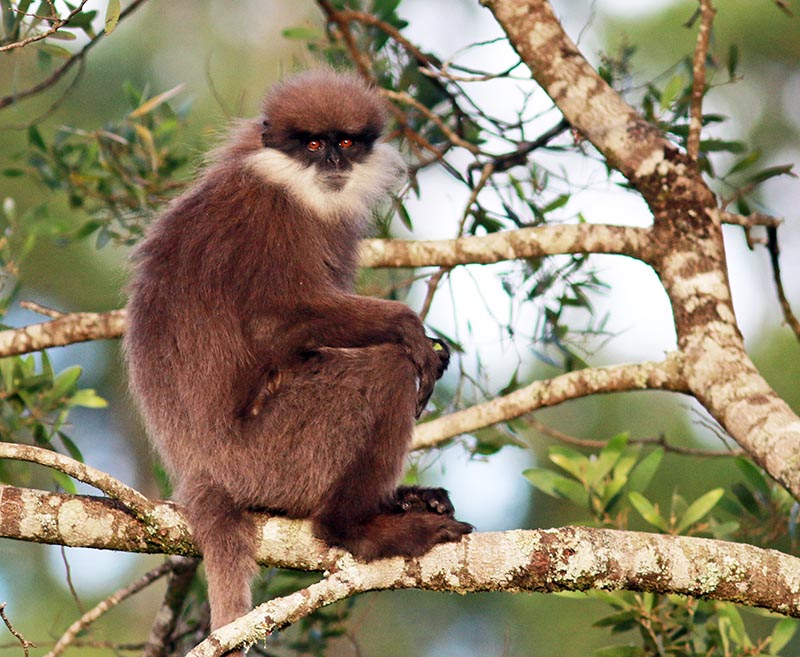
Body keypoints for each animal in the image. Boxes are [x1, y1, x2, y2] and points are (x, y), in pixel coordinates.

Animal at [125, 70, 472, 640]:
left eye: (346, 142)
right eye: (312, 144)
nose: (332, 162)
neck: (287, 182)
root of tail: (201, 473)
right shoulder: (270, 216)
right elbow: (273, 327)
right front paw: (412, 332)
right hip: (272, 458)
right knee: (385, 370)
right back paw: (354, 528)